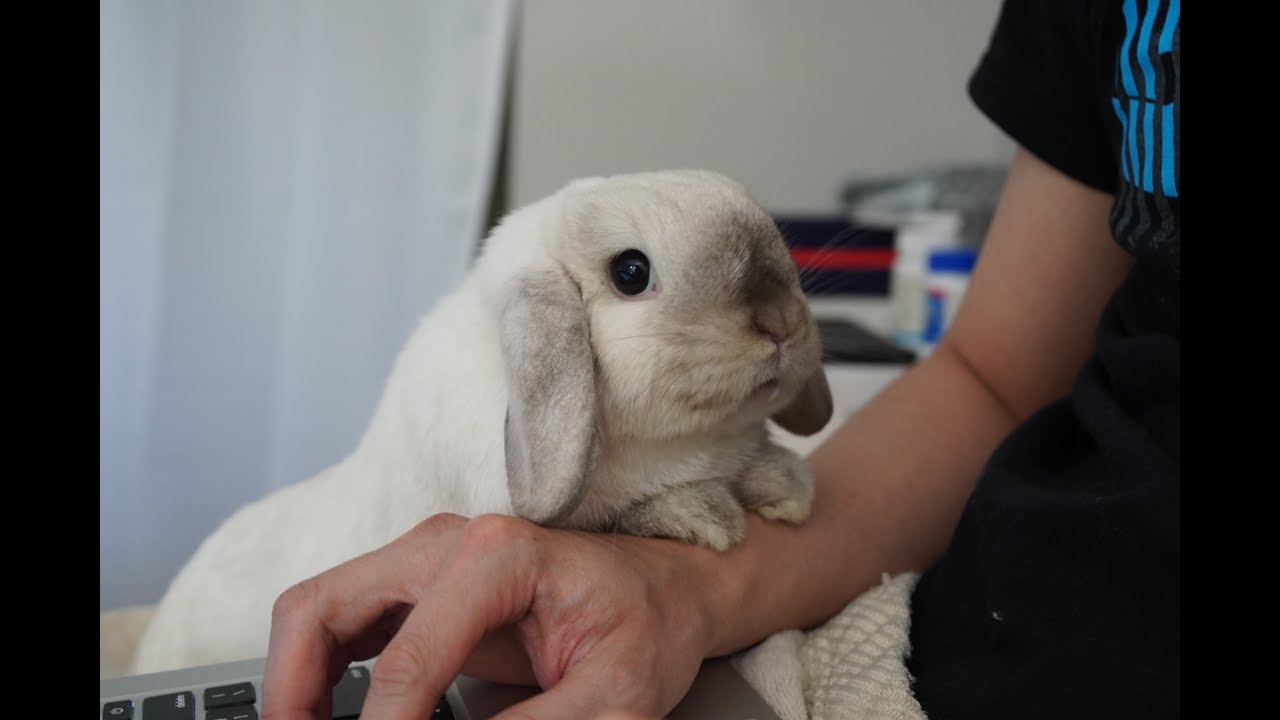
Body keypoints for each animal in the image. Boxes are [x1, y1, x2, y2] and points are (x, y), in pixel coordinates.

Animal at [129, 169, 833, 674]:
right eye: (631, 272)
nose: (781, 321)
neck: (691, 445)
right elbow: (631, 511)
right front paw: (711, 518)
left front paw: (787, 486)